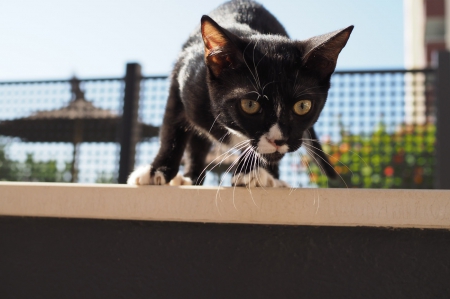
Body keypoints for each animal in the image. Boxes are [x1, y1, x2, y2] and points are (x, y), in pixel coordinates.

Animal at [128, 0, 354, 188]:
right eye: (250, 105)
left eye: (303, 106)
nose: (279, 140)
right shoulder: (184, 78)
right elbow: (172, 128)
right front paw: (157, 171)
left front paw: (251, 173)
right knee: (197, 144)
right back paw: (191, 177)